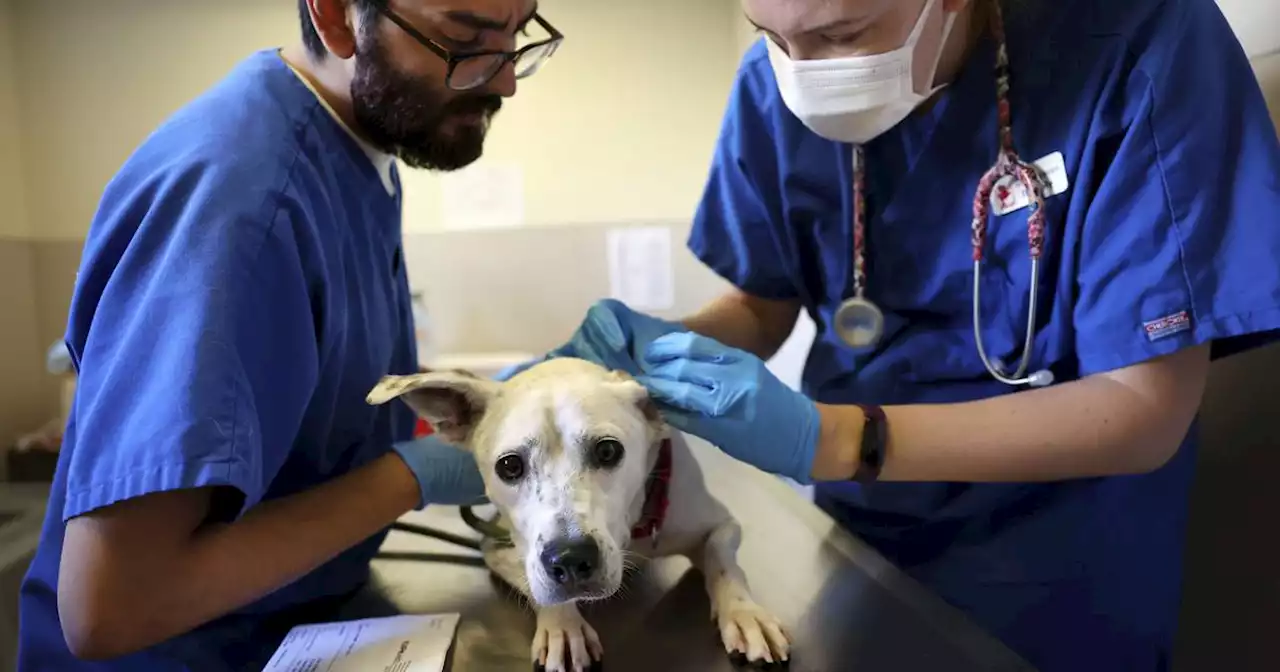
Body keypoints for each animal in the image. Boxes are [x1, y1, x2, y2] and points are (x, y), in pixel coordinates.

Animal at [366, 355, 788, 665]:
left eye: (608, 450)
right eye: (510, 466)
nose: (569, 559)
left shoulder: (721, 523)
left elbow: (721, 557)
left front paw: (745, 614)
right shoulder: (498, 549)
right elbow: (539, 589)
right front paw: (562, 626)